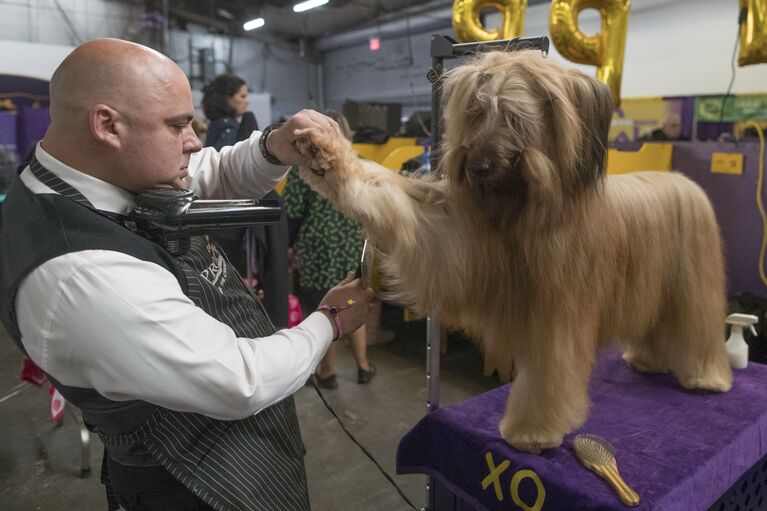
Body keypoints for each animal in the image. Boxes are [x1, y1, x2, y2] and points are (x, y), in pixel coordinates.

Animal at [292, 50, 732, 454]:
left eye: (514, 117)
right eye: (475, 111)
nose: (479, 166)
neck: (526, 213)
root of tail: (684, 183)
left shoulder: (556, 317)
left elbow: (547, 376)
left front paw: (533, 432)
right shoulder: (459, 236)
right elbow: (395, 199)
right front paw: (323, 152)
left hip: (694, 287)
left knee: (699, 328)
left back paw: (706, 377)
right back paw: (648, 360)